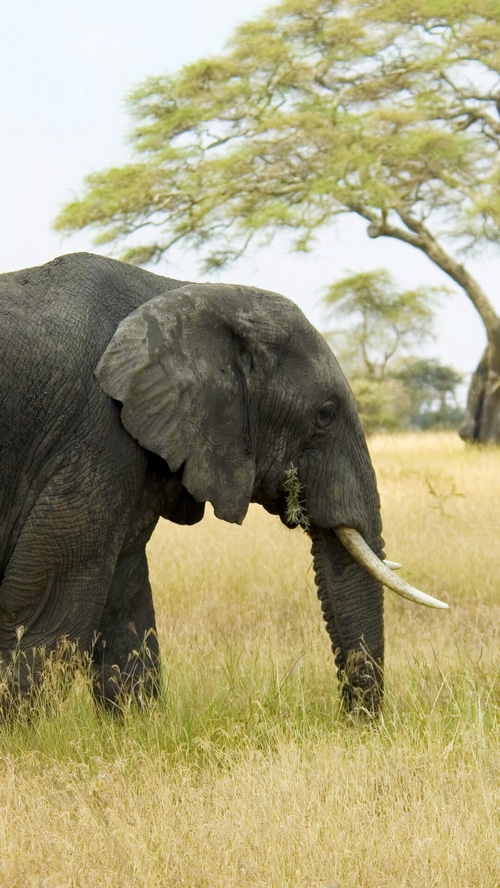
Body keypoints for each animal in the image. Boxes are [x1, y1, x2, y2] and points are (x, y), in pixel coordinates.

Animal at [0, 252, 447, 716]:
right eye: (324, 415)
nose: (355, 724)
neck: (183, 293)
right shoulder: (96, 435)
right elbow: (51, 614)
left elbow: (125, 603)